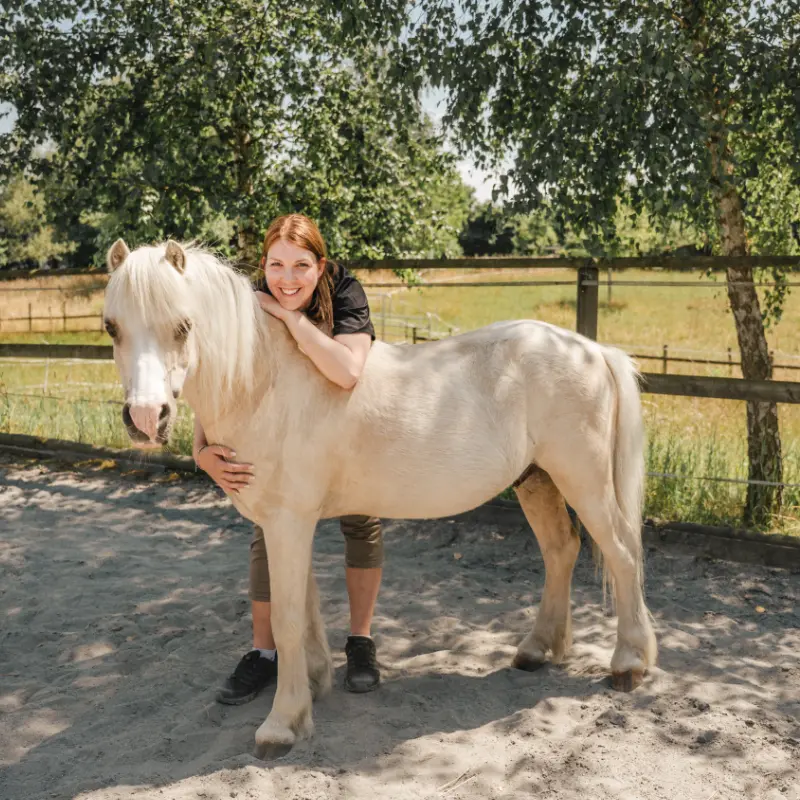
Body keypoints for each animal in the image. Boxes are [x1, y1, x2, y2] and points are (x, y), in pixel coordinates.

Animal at [103, 238, 657, 758]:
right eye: (111, 328)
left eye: (182, 326)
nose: (146, 418)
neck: (267, 385)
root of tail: (592, 350)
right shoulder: (289, 523)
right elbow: (304, 609)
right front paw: (313, 689)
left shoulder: (287, 521)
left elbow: (285, 618)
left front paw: (282, 726)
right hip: (537, 480)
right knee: (561, 551)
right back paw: (538, 650)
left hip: (582, 479)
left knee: (622, 555)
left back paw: (629, 664)